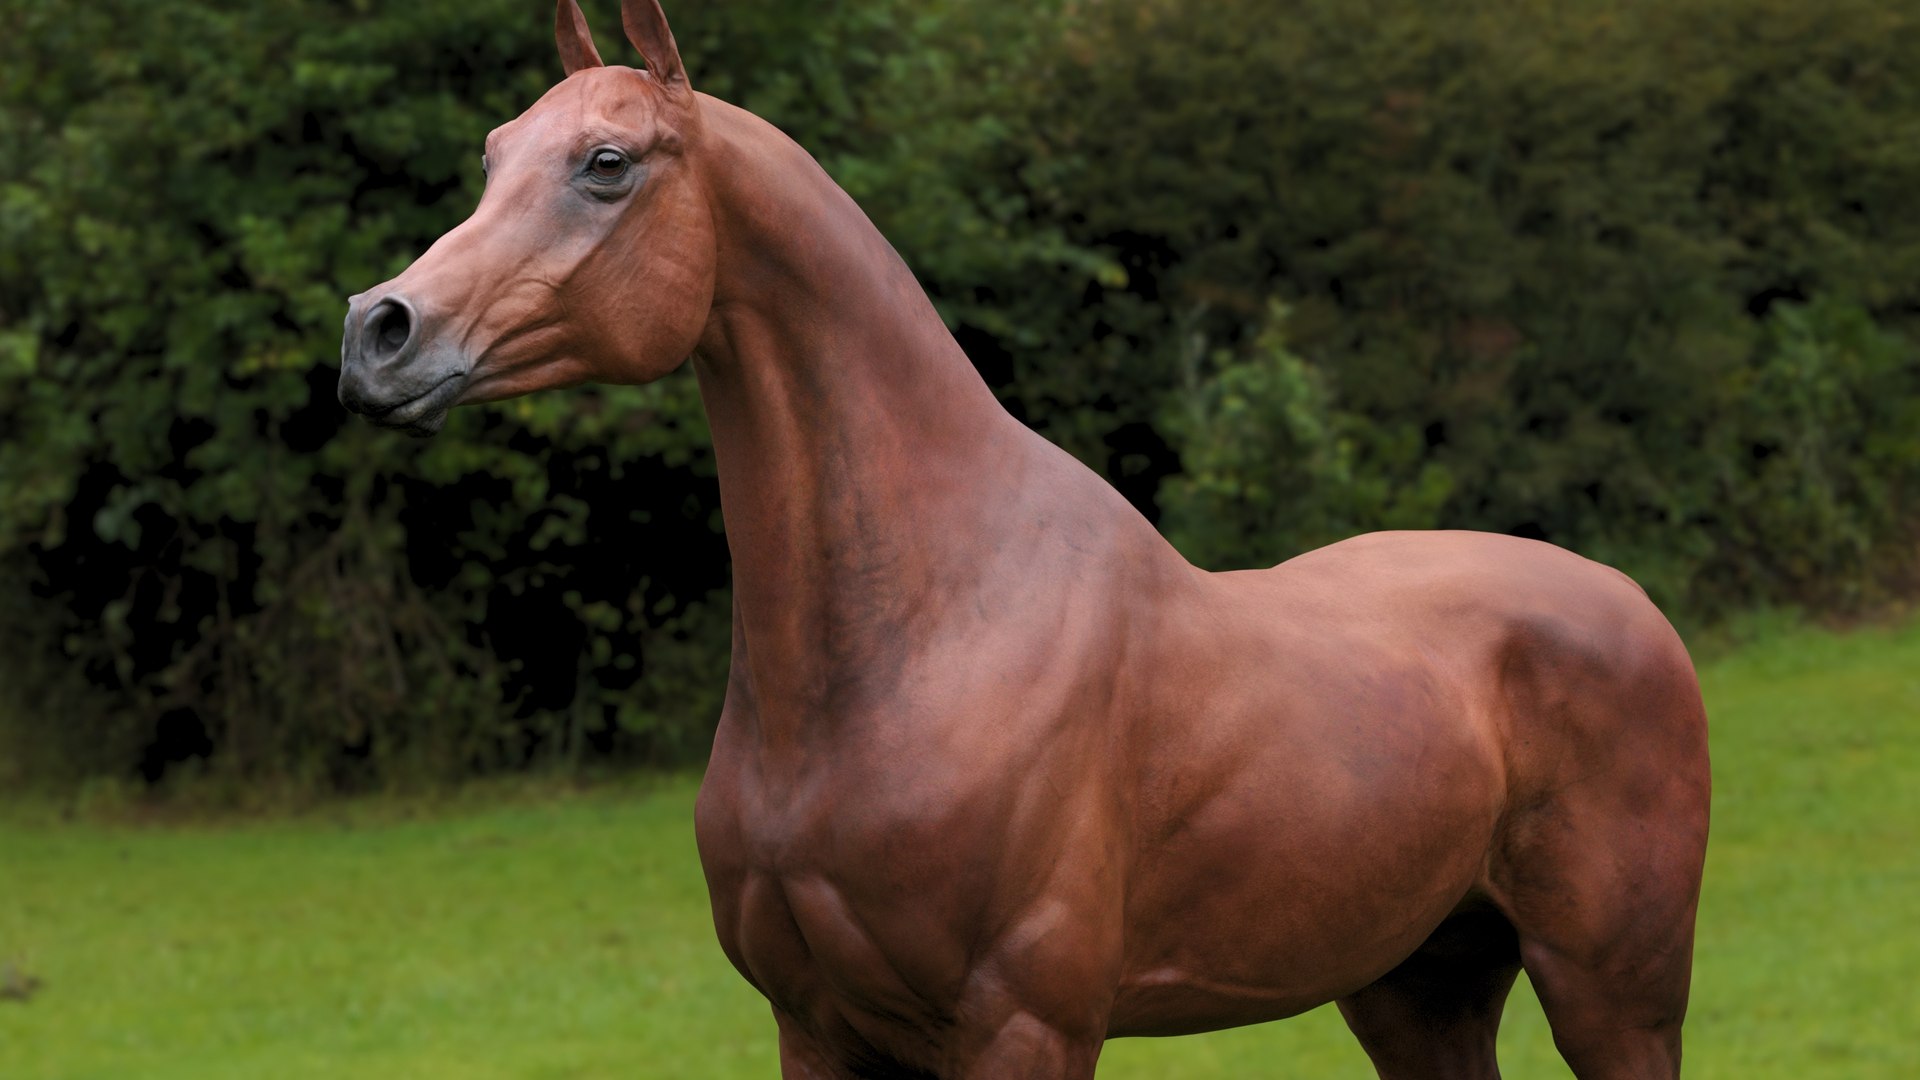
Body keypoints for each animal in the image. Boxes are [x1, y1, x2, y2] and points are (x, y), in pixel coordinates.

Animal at [337, 3, 1711, 1076]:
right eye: (494, 155)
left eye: (608, 162)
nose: (378, 331)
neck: (928, 627)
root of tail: (1630, 603)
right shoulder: (818, 1027)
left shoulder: (1024, 1026)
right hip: (1415, 986)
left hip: (1613, 998)